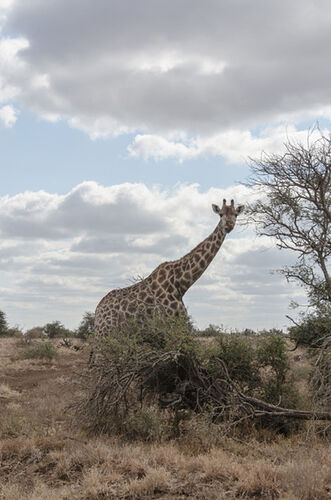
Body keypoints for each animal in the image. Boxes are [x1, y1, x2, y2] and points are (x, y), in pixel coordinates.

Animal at [94, 198, 245, 336]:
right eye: (220, 214)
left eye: (236, 214)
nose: (229, 225)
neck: (182, 283)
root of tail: (97, 311)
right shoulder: (166, 325)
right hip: (105, 333)